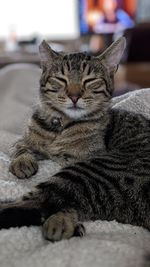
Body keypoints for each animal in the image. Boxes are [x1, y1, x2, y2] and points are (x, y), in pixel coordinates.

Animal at [0, 37, 150, 243]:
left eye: (91, 81)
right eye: (60, 79)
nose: (74, 96)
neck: (60, 126)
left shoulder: (84, 158)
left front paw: (62, 220)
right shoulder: (24, 139)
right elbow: (20, 148)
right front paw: (22, 163)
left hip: (91, 170)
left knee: (42, 201)